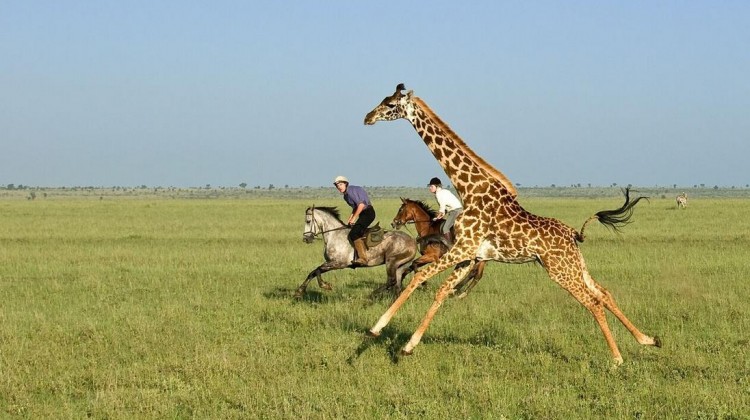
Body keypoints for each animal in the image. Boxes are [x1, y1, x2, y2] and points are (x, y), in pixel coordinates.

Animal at [364, 84, 664, 364]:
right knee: (604, 292)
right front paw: (408, 345)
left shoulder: (463, 248)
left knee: (592, 301)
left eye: (390, 104)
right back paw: (648, 339)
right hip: (573, 265)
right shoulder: (469, 255)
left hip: (559, 270)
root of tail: (572, 234)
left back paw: (617, 358)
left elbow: (420, 276)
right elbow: (441, 289)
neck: (469, 188)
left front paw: (377, 329)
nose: (368, 117)